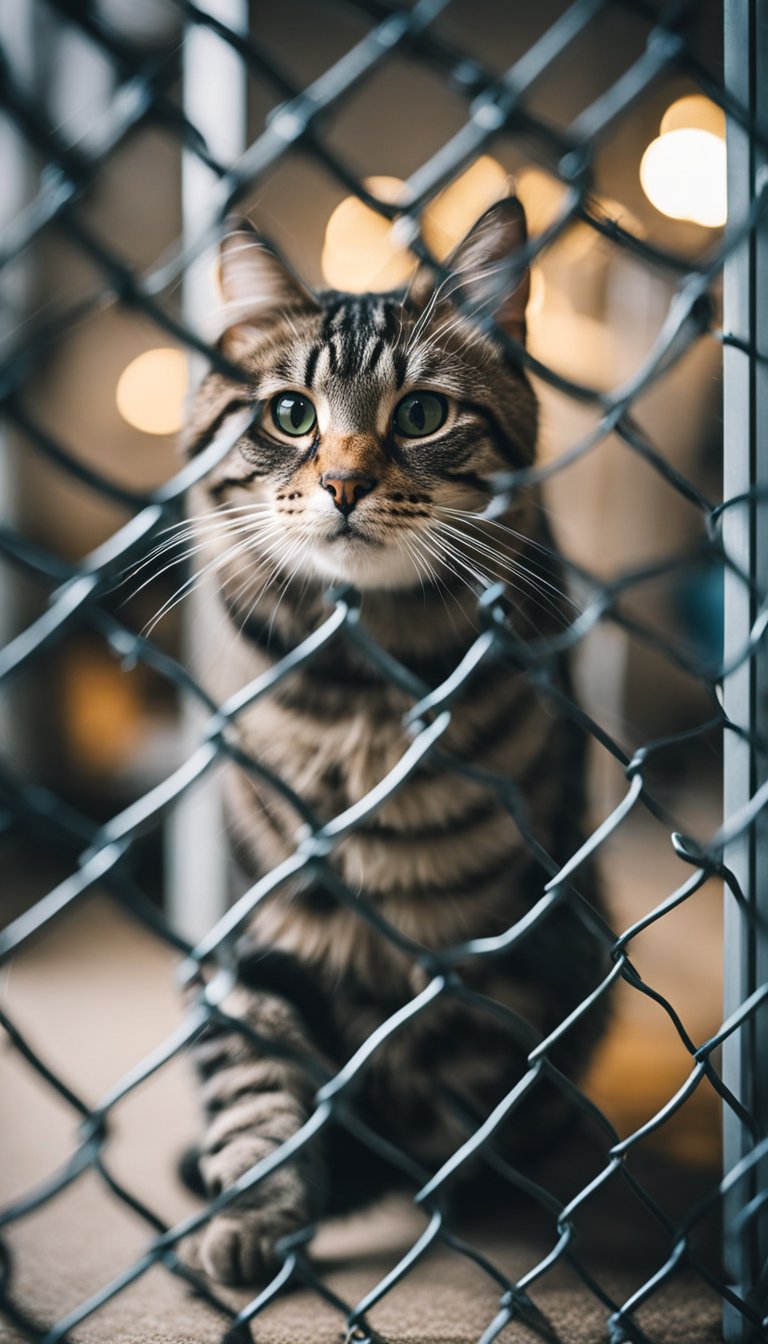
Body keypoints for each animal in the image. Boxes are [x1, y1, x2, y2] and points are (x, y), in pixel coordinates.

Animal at [176, 196, 613, 1279]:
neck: (362, 686)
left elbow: (473, 1089)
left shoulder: (500, 944)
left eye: (420, 415)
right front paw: (253, 1215)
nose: (342, 485)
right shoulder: (262, 926)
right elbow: (255, 1081)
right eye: (291, 414)